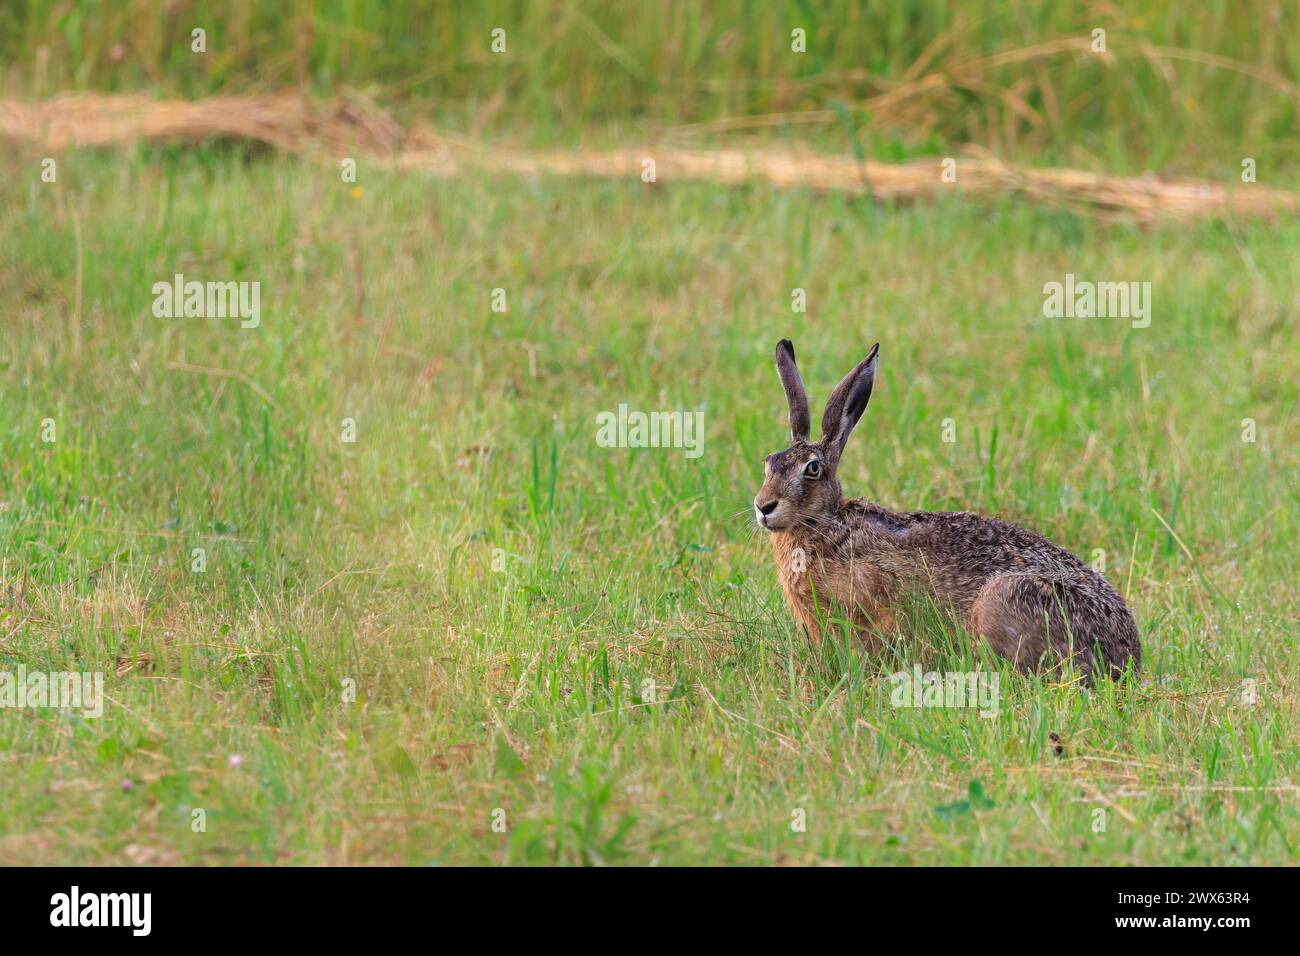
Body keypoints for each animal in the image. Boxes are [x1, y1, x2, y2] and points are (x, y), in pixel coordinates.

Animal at [754, 339, 1141, 683]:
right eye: (769, 462)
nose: (763, 506)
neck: (827, 525)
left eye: (813, 469)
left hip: (1004, 600)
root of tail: (1128, 658)